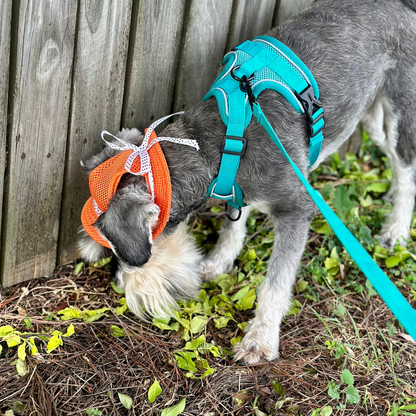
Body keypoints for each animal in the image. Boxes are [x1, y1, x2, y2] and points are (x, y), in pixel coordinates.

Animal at [78, 0, 416, 364]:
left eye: (115, 249)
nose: (116, 284)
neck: (221, 142)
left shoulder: (296, 209)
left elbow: (276, 283)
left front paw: (260, 339)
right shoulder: (236, 188)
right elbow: (234, 222)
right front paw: (218, 262)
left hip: (400, 113)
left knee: (406, 171)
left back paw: (396, 230)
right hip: (369, 117)